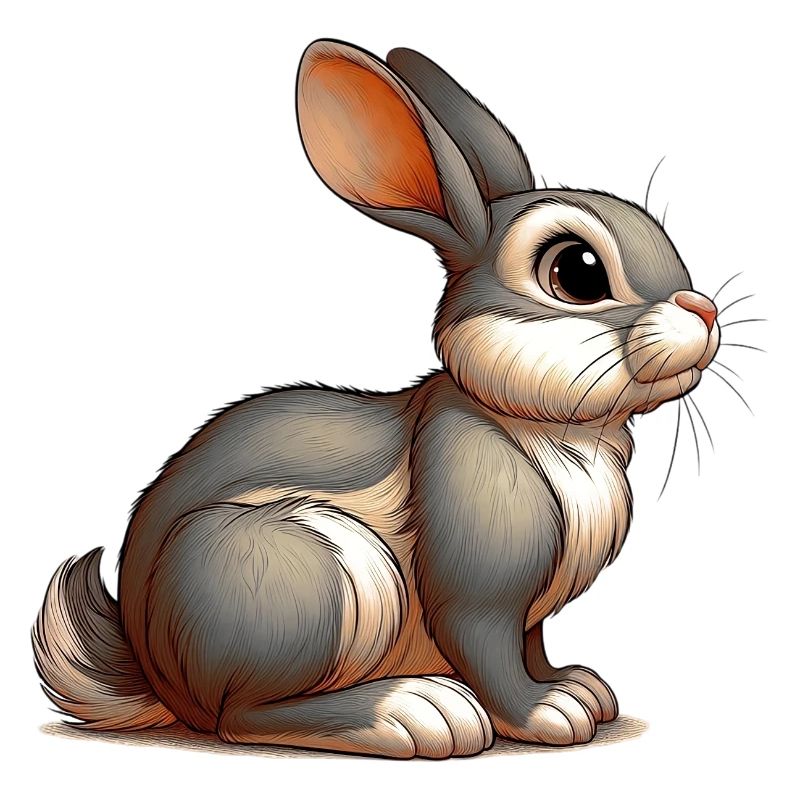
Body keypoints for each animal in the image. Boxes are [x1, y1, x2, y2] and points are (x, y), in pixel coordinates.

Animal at [32, 39, 721, 759]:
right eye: (576, 272)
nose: (704, 310)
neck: (537, 425)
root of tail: (161, 677)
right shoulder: (477, 592)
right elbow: (489, 652)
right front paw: (549, 714)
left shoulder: (529, 617)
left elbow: (531, 649)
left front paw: (578, 688)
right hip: (316, 574)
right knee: (244, 716)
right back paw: (416, 712)